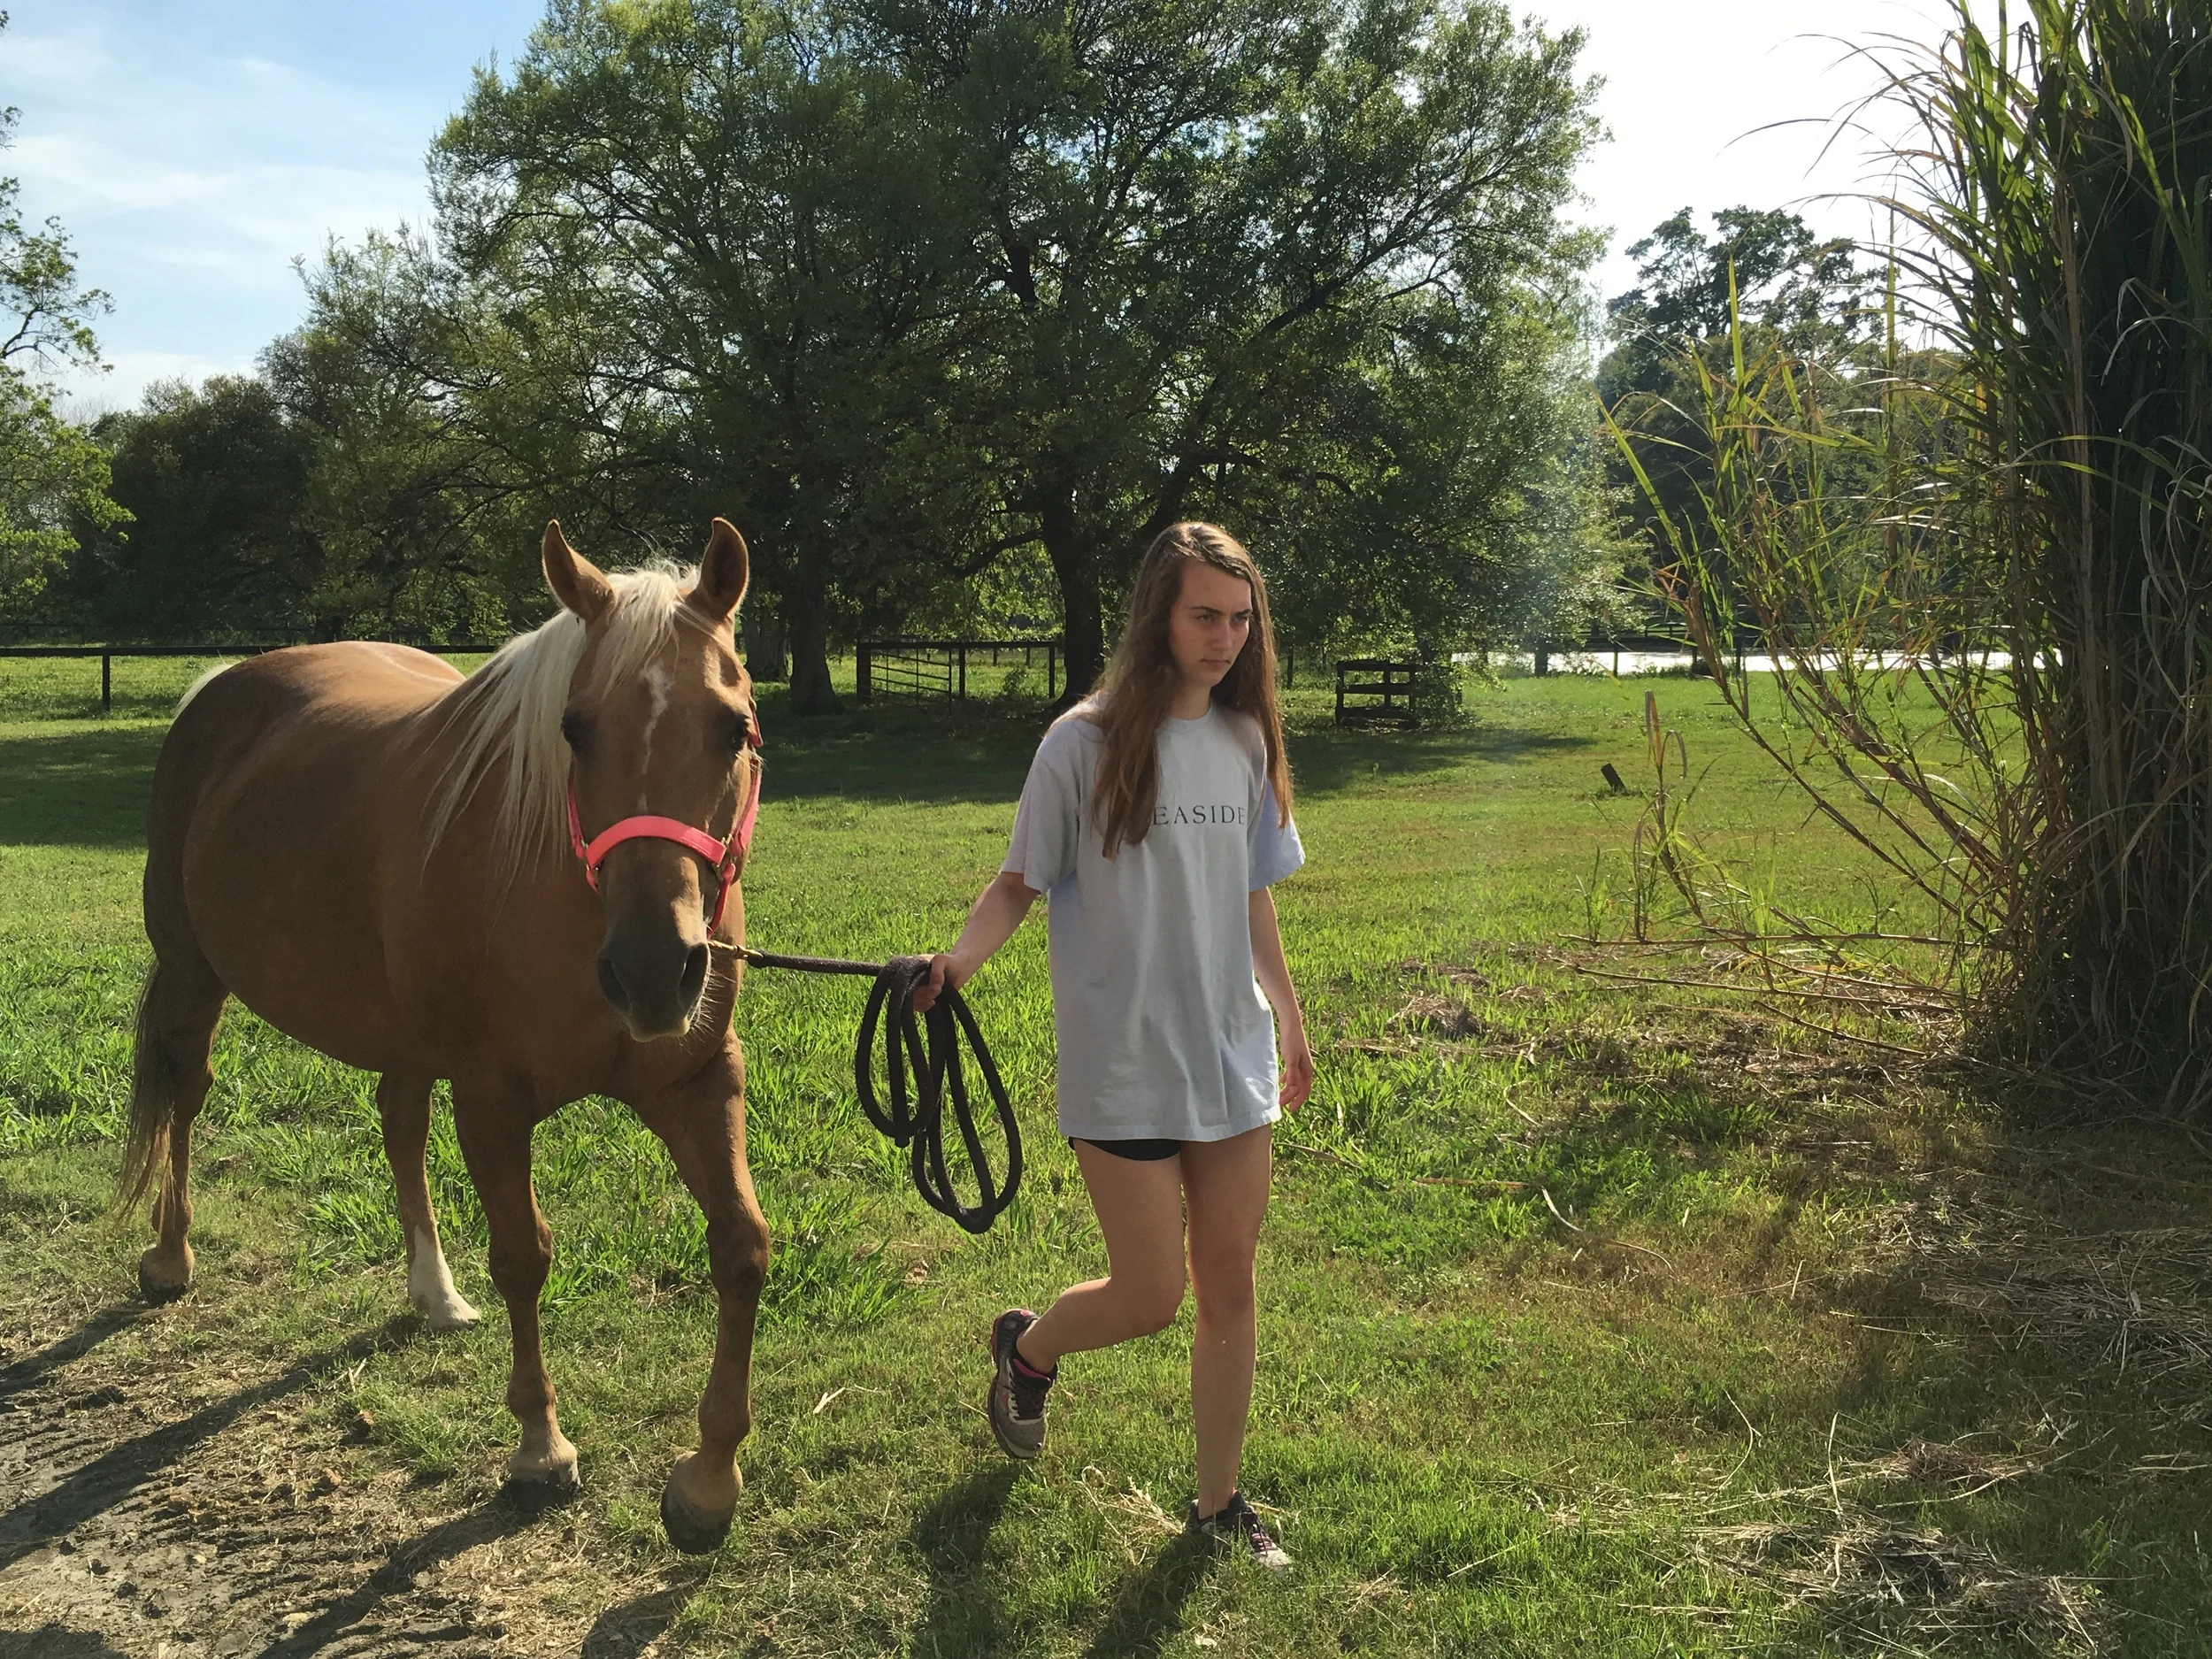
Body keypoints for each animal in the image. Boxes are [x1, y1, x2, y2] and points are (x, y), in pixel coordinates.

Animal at [118, 519, 771, 1552]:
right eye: (575, 729)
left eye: (734, 727)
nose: (653, 971)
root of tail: (221, 688)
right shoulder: (493, 1100)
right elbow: (524, 1257)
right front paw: (540, 1448)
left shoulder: (700, 1081)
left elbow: (741, 1247)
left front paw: (708, 1481)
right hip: (192, 973)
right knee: (186, 1092)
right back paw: (171, 1256)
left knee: (398, 1123)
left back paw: (434, 1292)